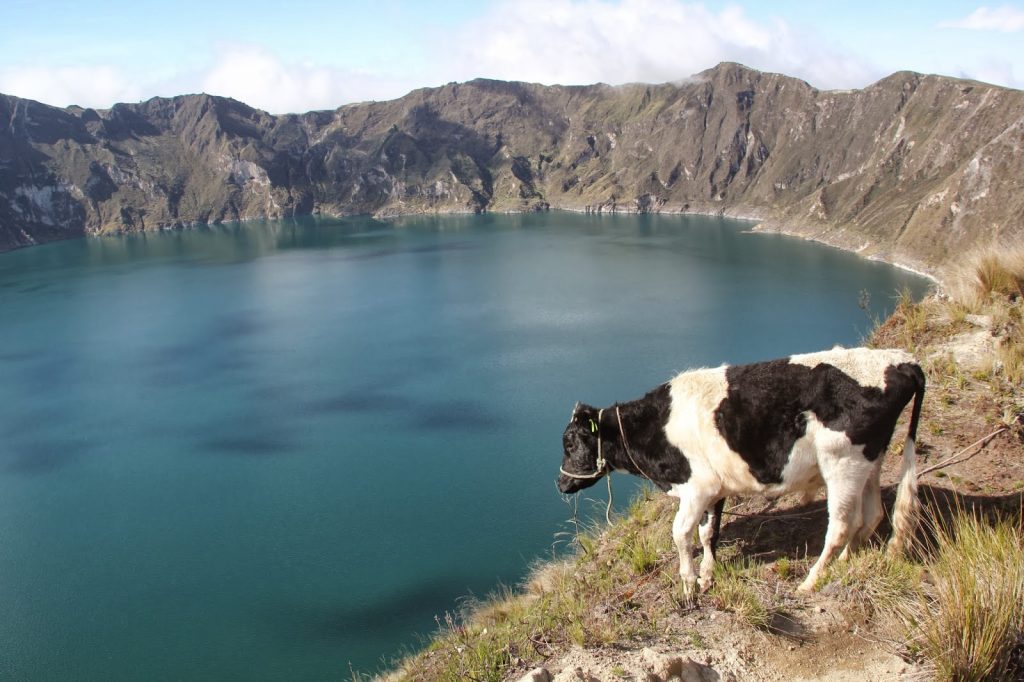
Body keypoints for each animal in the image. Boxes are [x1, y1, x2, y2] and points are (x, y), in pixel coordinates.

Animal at [561, 348, 929, 593]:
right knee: (873, 513)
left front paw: (689, 582)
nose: (561, 484)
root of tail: (901, 360)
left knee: (841, 526)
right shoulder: (716, 489)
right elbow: (708, 533)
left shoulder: (697, 488)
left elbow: (680, 533)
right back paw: (845, 560)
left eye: (569, 443)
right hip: (870, 460)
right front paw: (707, 575)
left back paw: (811, 580)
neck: (658, 427)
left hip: (842, 463)